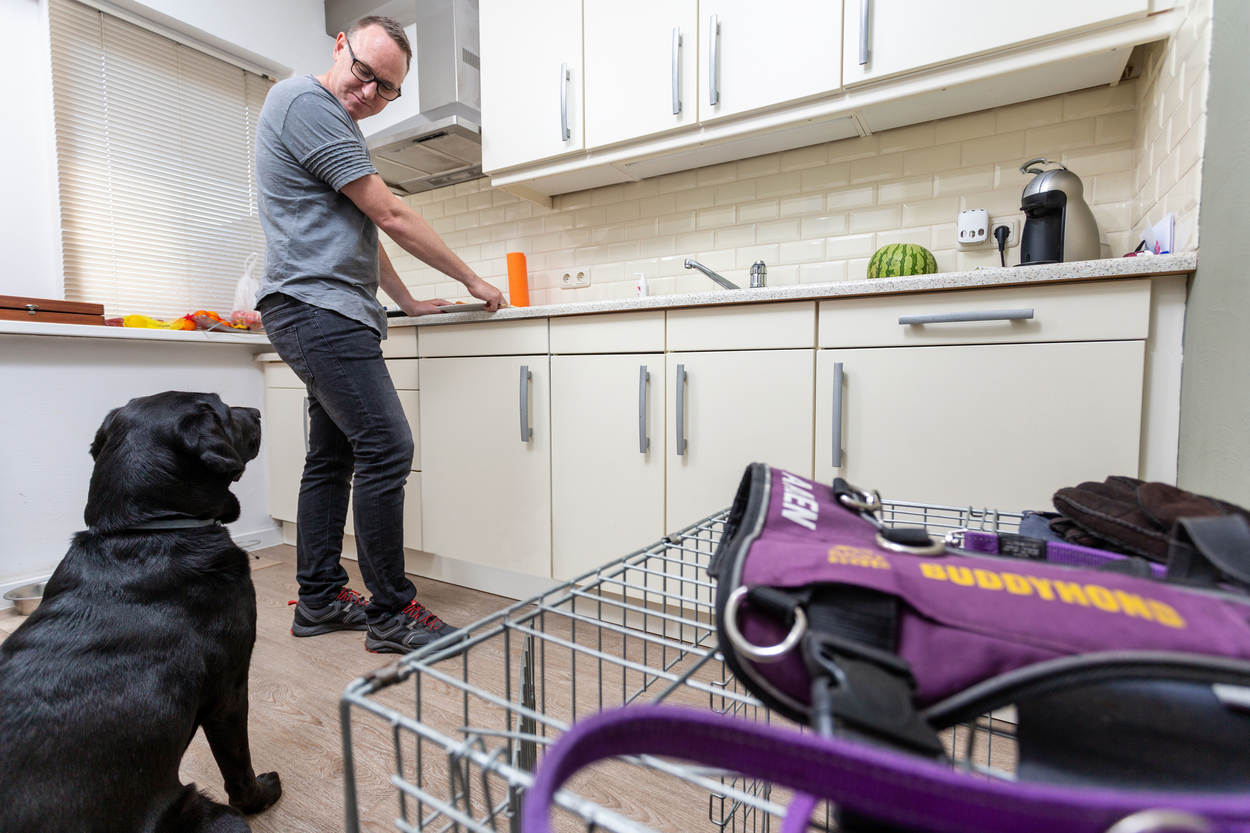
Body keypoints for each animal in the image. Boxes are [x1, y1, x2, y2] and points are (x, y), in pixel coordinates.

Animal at [0, 391, 281, 833]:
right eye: (221, 408)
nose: (255, 412)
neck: (144, 530)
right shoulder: (230, 689)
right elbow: (238, 764)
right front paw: (262, 795)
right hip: (215, 818)